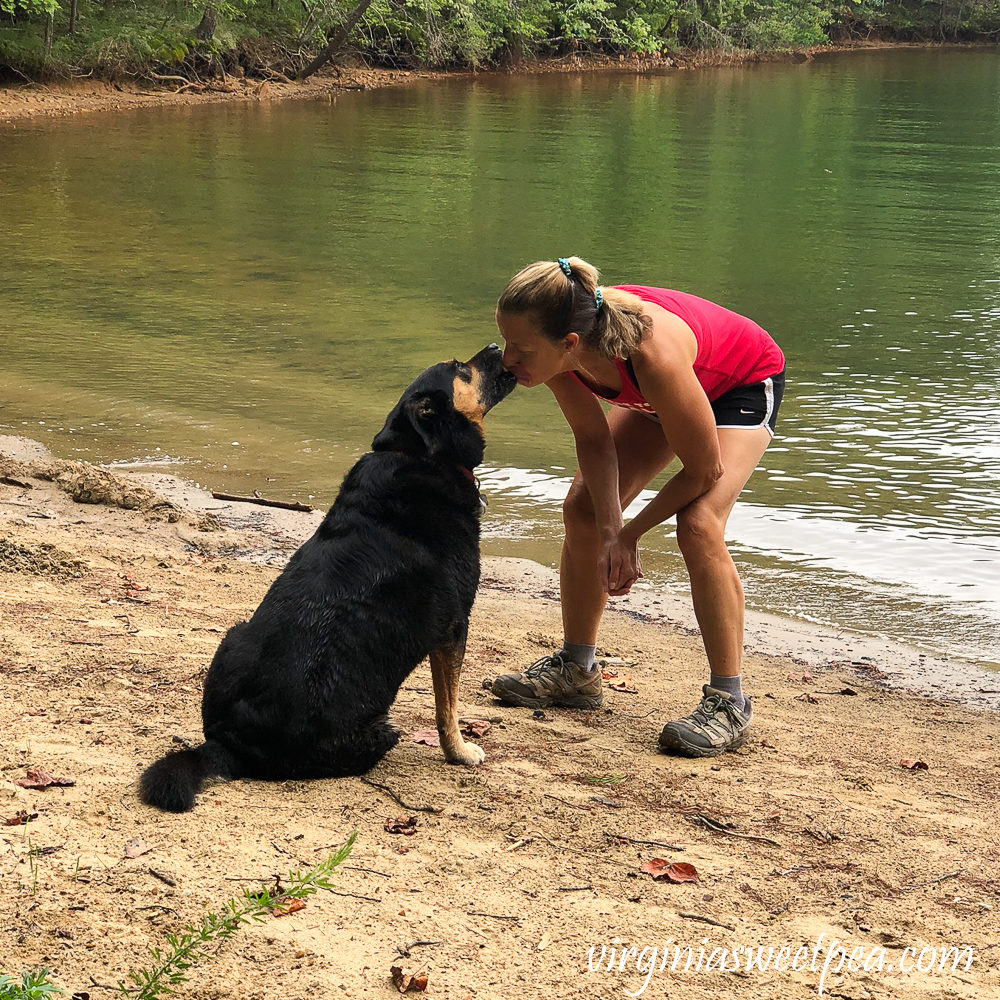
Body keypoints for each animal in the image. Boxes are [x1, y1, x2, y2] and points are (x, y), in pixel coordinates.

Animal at [141, 344, 516, 812]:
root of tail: (228, 744)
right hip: (380, 730)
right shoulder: (453, 627)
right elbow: (447, 708)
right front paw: (460, 752)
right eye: (461, 369)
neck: (419, 455)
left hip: (232, 634)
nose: (498, 346)